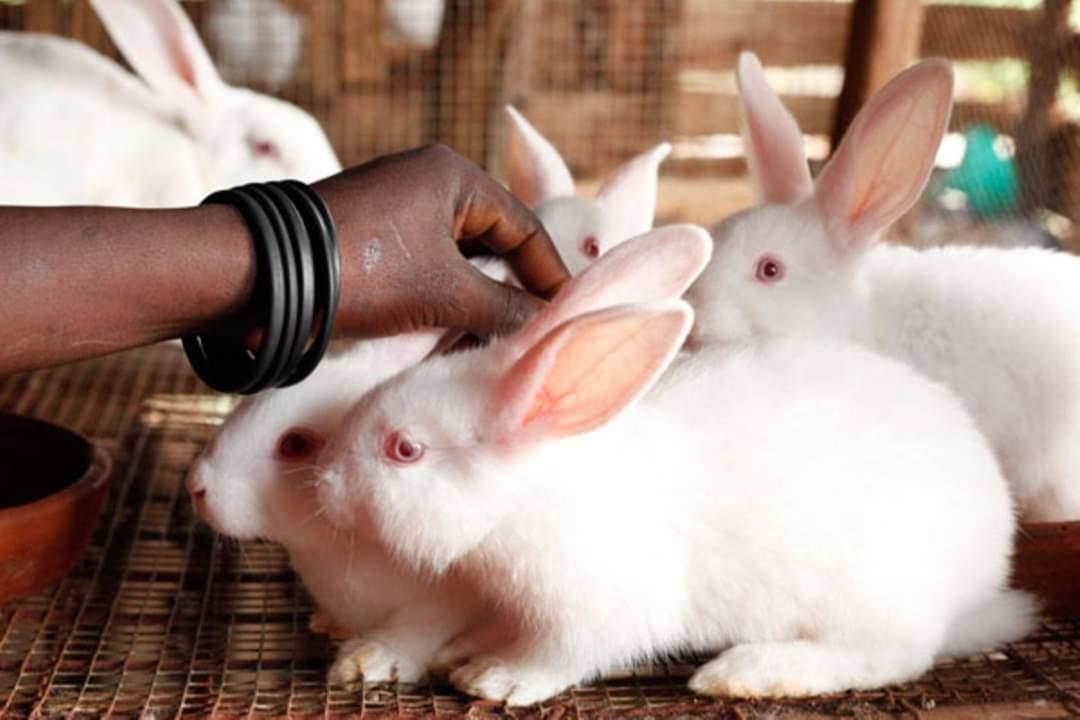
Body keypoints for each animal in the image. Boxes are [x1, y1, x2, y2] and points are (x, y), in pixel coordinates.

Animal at [315, 224, 1034, 706]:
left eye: (404, 449)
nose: (323, 480)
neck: (533, 491)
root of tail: (987, 564)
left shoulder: (597, 602)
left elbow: (564, 652)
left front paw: (496, 677)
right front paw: (426, 654)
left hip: (870, 595)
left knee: (890, 657)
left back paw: (745, 672)